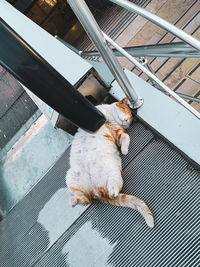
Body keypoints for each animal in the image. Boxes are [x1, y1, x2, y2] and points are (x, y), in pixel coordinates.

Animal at [66, 98, 154, 228]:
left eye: (130, 120)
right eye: (125, 110)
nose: (127, 121)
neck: (110, 120)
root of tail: (99, 194)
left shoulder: (118, 133)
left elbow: (126, 137)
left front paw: (124, 150)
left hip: (112, 171)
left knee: (96, 197)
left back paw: (112, 192)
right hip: (70, 177)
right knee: (84, 199)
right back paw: (74, 200)